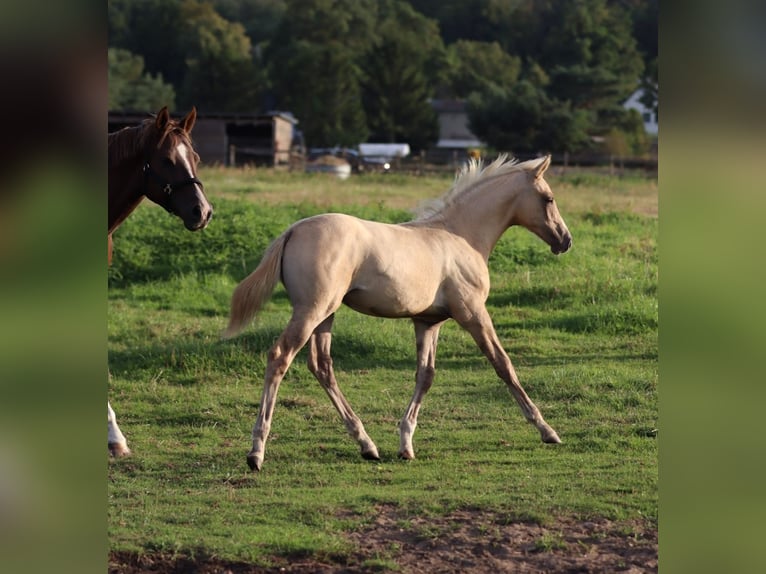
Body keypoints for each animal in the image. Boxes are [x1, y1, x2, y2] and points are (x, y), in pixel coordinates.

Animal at [223, 154, 572, 471]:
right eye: (549, 198)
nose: (565, 240)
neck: (462, 236)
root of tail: (293, 230)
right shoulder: (472, 313)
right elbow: (503, 365)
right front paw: (547, 430)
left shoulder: (427, 322)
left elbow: (425, 375)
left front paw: (406, 444)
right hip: (312, 310)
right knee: (280, 356)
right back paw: (256, 452)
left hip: (325, 315)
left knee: (321, 365)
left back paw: (367, 445)